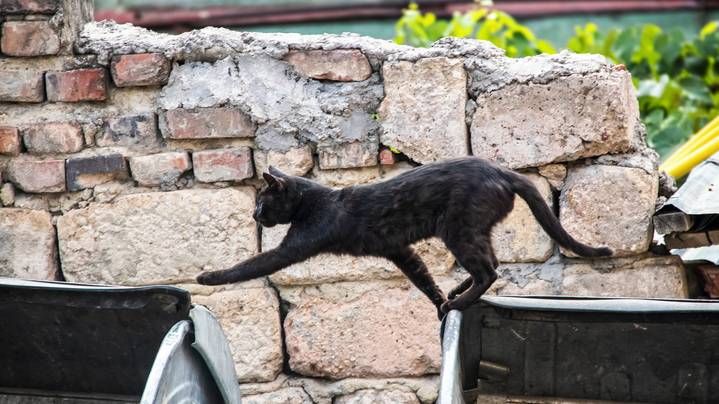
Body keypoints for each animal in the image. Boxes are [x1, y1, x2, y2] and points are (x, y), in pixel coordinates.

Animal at [198, 158, 612, 318]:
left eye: (261, 202)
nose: (253, 214)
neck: (313, 200)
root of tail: (502, 170)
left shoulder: (295, 246)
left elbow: (252, 265)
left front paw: (207, 277)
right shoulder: (400, 250)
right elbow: (423, 279)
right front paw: (437, 301)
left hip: (458, 229)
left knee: (489, 272)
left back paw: (460, 302)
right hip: (473, 230)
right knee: (492, 263)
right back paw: (454, 295)